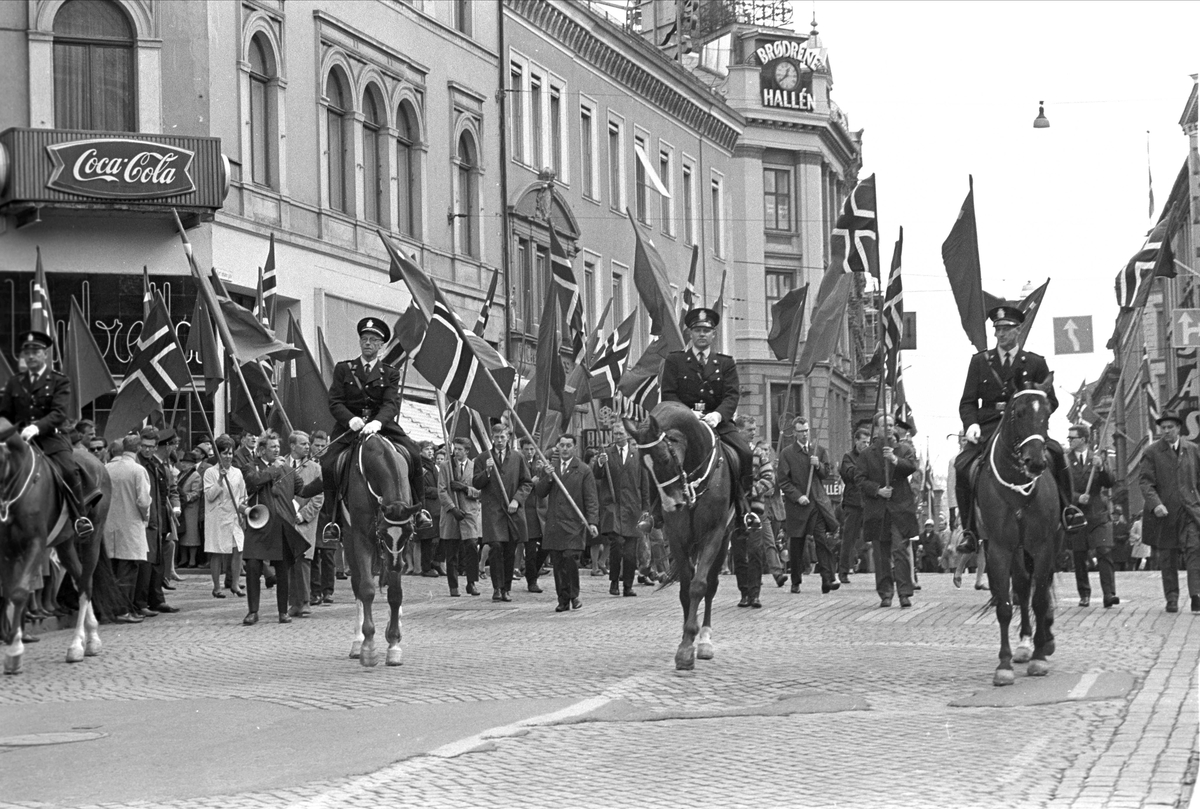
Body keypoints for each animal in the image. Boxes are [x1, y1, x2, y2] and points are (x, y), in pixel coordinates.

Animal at [0, 427, 110, 672]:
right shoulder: (7, 550)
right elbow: (8, 594)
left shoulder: (35, 544)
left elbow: (19, 592)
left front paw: (14, 651)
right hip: (64, 544)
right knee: (78, 578)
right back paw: (91, 637)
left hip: (92, 536)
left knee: (86, 583)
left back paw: (78, 645)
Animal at [333, 432, 417, 662]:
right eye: (383, 533)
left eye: (408, 534)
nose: (396, 565)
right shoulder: (362, 538)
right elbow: (366, 589)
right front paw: (368, 646)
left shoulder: (399, 550)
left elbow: (395, 593)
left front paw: (394, 643)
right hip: (350, 541)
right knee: (357, 585)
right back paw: (357, 641)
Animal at [624, 396, 734, 667]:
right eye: (644, 467)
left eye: (664, 458)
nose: (672, 505)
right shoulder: (677, 538)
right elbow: (685, 590)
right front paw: (685, 642)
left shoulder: (714, 534)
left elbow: (699, 586)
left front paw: (693, 643)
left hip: (724, 539)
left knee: (711, 584)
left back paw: (705, 640)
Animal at [974, 374, 1060, 681]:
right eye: (1018, 412)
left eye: (1048, 412)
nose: (1035, 462)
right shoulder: (999, 548)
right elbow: (1005, 605)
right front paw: (1004, 664)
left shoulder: (1044, 545)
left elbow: (1040, 599)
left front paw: (1039, 657)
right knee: (1022, 586)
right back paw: (1024, 643)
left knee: (1041, 588)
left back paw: (1044, 639)